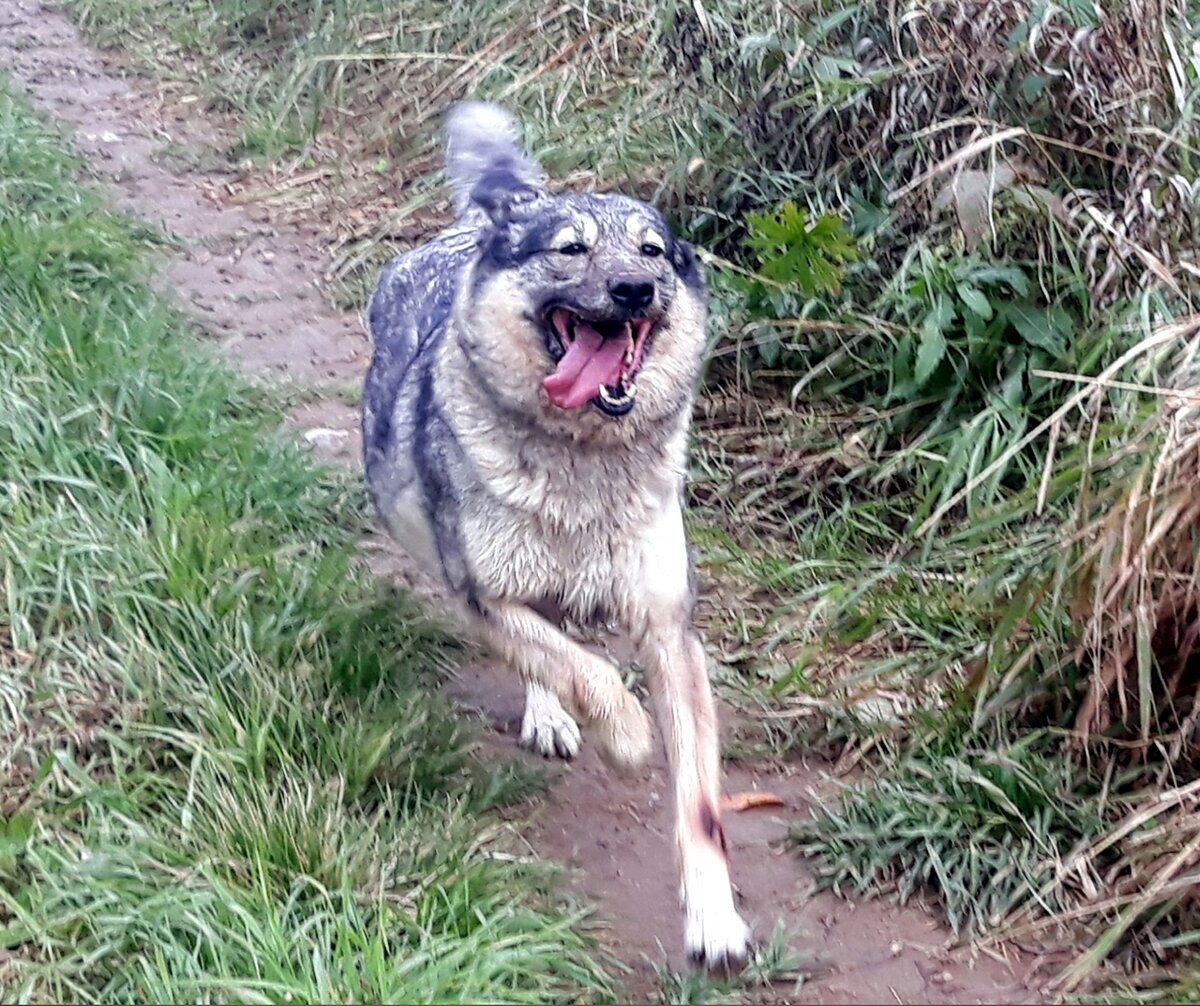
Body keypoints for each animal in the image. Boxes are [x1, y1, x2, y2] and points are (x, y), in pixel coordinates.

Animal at [360, 100, 748, 969]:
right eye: (571, 250)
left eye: (652, 251)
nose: (635, 288)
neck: (582, 461)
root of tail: (488, 221)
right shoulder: (486, 596)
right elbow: (584, 669)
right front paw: (629, 734)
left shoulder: (672, 630)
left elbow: (701, 806)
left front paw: (716, 920)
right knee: (550, 651)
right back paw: (557, 715)